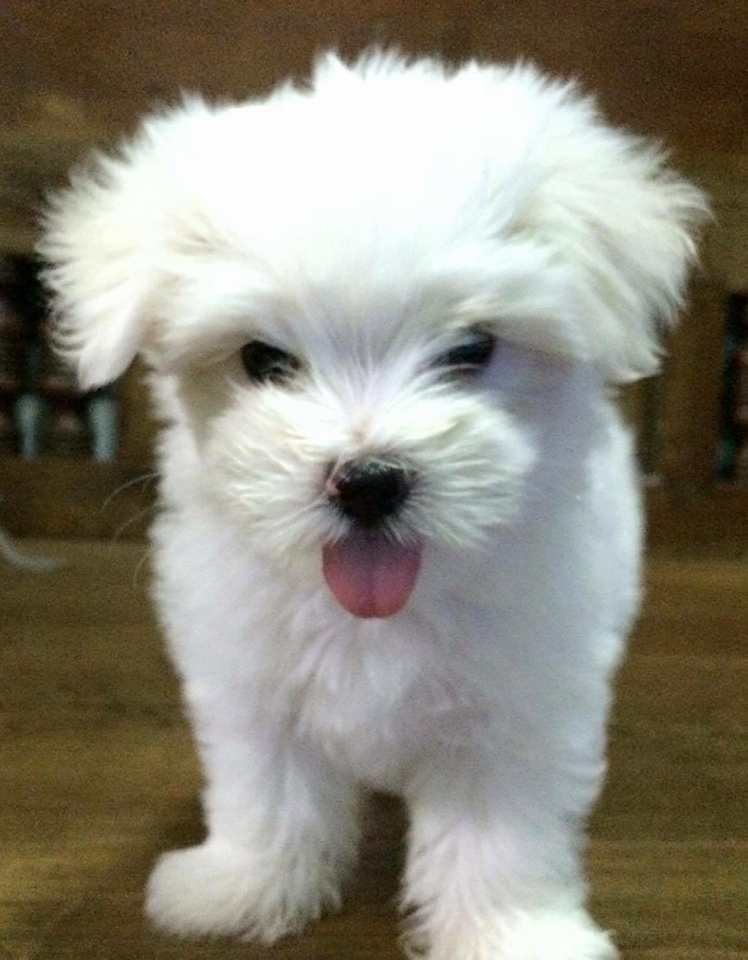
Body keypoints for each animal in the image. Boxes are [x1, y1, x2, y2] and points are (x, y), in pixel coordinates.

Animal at [41, 51, 705, 959]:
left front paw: (510, 933)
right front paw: (246, 888)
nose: (368, 480)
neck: (382, 607)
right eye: (262, 358)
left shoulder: (518, 702)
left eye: (471, 348)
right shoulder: (253, 685)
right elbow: (270, 798)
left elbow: (495, 838)